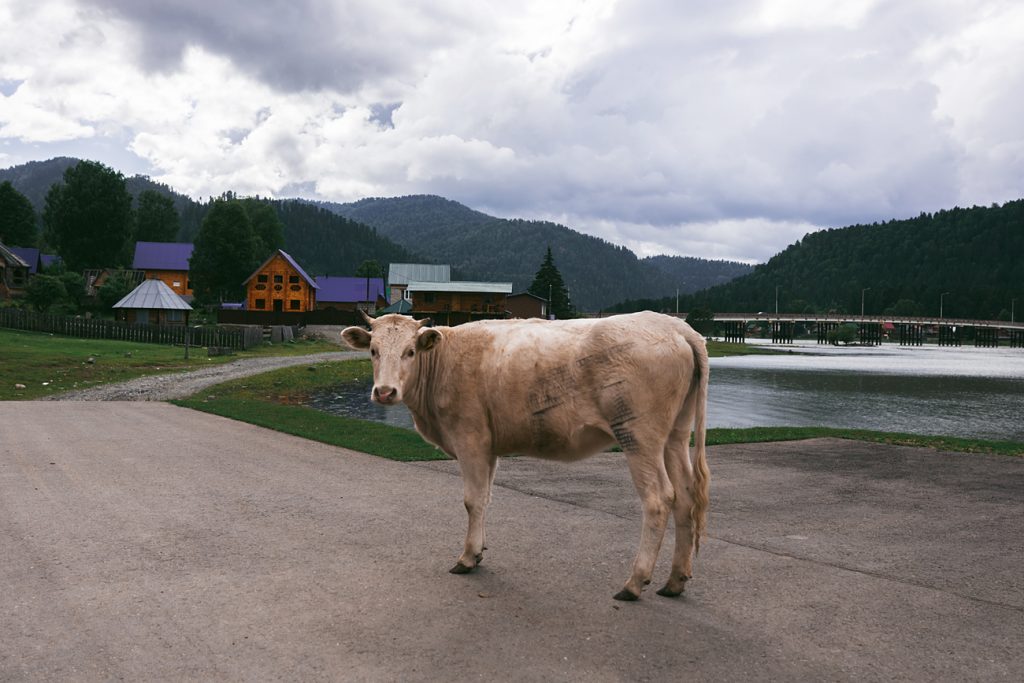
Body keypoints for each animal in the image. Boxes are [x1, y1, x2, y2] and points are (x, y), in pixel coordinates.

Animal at [339, 313, 708, 602]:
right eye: (373, 351)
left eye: (410, 351)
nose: (385, 392)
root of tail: (676, 326)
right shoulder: (488, 446)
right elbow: (485, 499)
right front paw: (478, 552)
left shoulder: (470, 439)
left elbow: (472, 500)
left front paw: (467, 557)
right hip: (675, 436)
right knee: (685, 497)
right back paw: (675, 581)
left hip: (639, 437)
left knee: (659, 499)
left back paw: (634, 583)